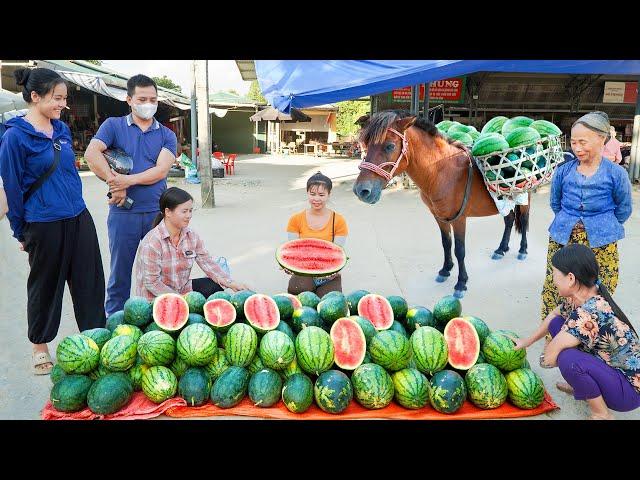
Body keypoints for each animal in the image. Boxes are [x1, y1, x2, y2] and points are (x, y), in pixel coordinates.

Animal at [350, 112, 528, 298]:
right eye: (366, 145)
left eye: (390, 146)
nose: (361, 190)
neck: (443, 170)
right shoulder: (440, 217)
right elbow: (446, 243)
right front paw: (445, 270)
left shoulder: (459, 219)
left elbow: (460, 250)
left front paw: (461, 283)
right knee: (509, 220)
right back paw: (501, 249)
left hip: (523, 198)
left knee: (523, 220)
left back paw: (522, 250)